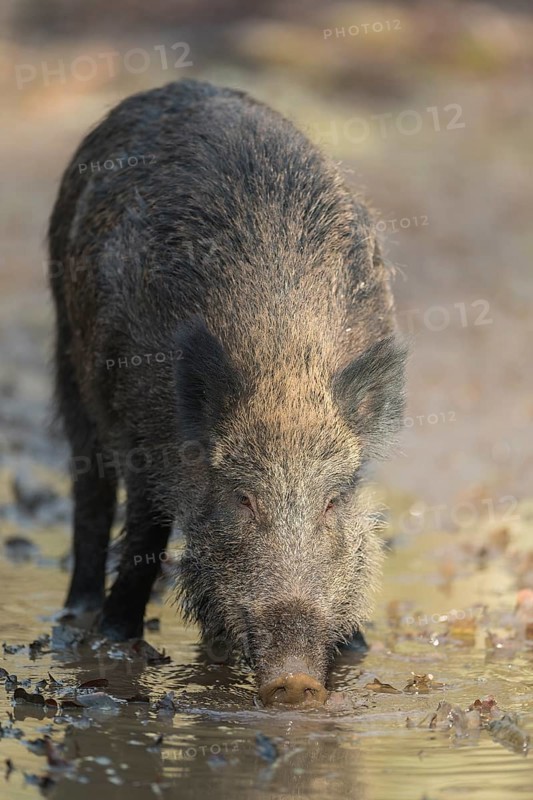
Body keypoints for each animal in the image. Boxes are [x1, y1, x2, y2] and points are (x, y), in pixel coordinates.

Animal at [48, 79, 406, 706]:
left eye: (333, 502)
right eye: (243, 498)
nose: (295, 682)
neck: (286, 368)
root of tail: (181, 85)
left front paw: (356, 648)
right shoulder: (143, 430)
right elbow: (146, 527)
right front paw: (116, 642)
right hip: (70, 352)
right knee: (90, 491)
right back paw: (76, 617)